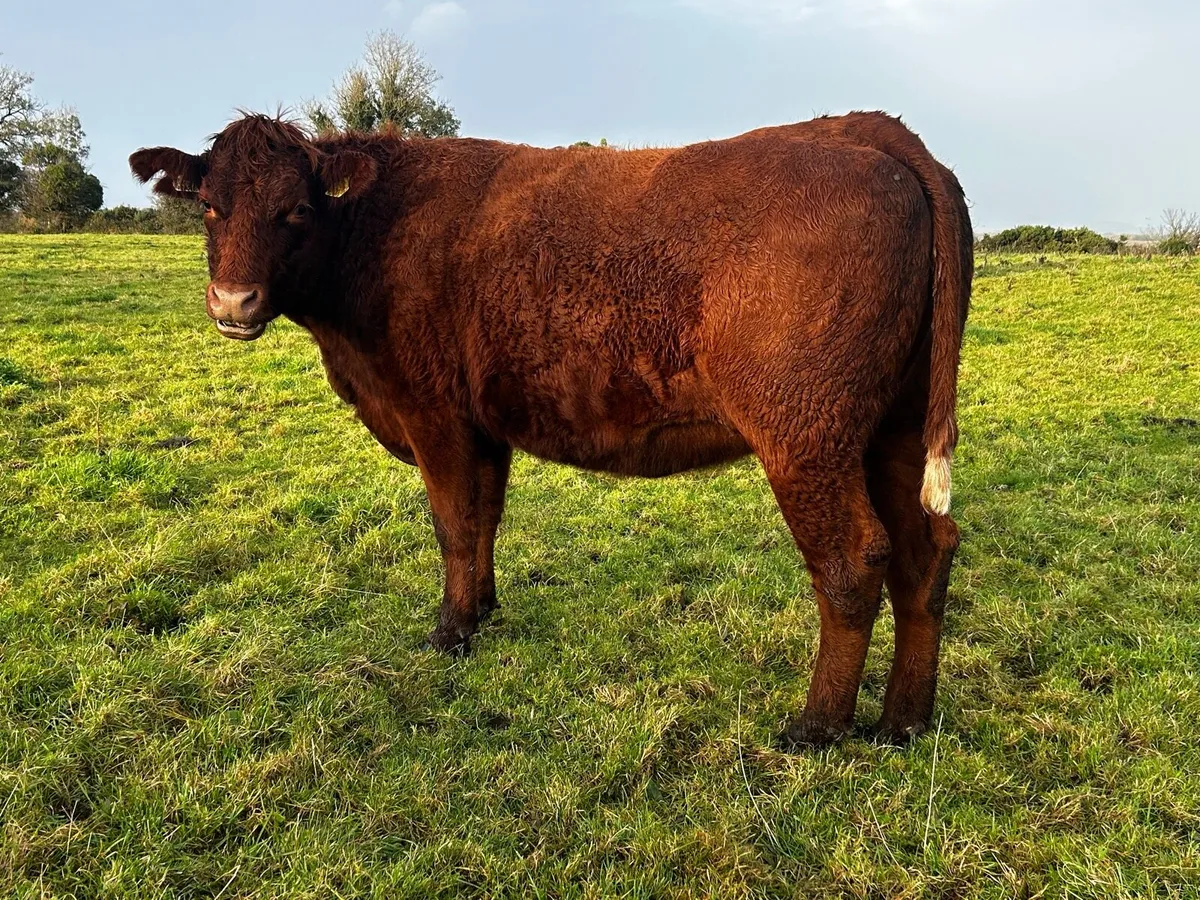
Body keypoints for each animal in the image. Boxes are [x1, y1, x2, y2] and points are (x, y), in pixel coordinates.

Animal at [129, 110, 971, 748]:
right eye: (210, 206)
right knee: (925, 551)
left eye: (296, 210)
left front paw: (449, 631)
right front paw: (483, 611)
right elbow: (484, 518)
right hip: (892, 432)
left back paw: (816, 727)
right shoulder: (483, 424)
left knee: (854, 560)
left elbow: (453, 522)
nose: (234, 302)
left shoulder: (432, 412)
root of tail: (868, 130)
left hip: (806, 436)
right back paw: (903, 722)